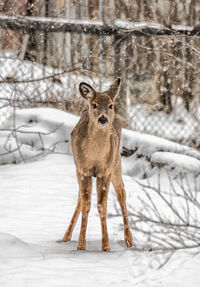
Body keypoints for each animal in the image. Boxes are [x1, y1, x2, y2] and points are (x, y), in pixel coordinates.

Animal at [61, 79, 133, 252]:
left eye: (110, 105)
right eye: (94, 105)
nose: (103, 119)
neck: (94, 156)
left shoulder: (104, 172)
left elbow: (102, 206)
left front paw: (106, 246)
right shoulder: (83, 170)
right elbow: (86, 204)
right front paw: (81, 246)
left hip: (116, 162)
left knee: (122, 192)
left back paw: (129, 240)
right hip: (80, 169)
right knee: (80, 199)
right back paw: (65, 237)